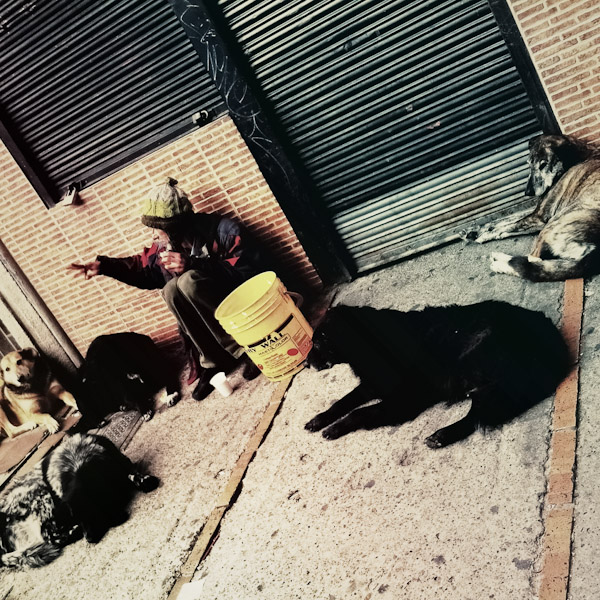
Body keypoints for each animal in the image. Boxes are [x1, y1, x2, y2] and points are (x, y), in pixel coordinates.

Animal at [0, 432, 159, 568]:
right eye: (79, 516)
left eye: (94, 511)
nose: (89, 539)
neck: (77, 459)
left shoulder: (120, 461)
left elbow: (130, 472)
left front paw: (143, 479)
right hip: (42, 495)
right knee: (50, 536)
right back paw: (73, 532)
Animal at [302, 302, 568, 448]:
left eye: (318, 342)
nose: (305, 364)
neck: (370, 343)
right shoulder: (373, 385)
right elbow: (342, 402)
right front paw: (319, 419)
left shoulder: (404, 399)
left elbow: (360, 411)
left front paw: (336, 428)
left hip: (477, 358)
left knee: (477, 414)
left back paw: (443, 435)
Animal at [464, 134, 600, 282]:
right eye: (529, 164)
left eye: (544, 164)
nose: (527, 192)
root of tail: (595, 250)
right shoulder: (536, 211)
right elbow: (502, 220)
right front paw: (474, 231)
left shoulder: (540, 217)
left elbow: (508, 226)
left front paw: (483, 235)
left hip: (553, 225)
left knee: (532, 263)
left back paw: (500, 263)